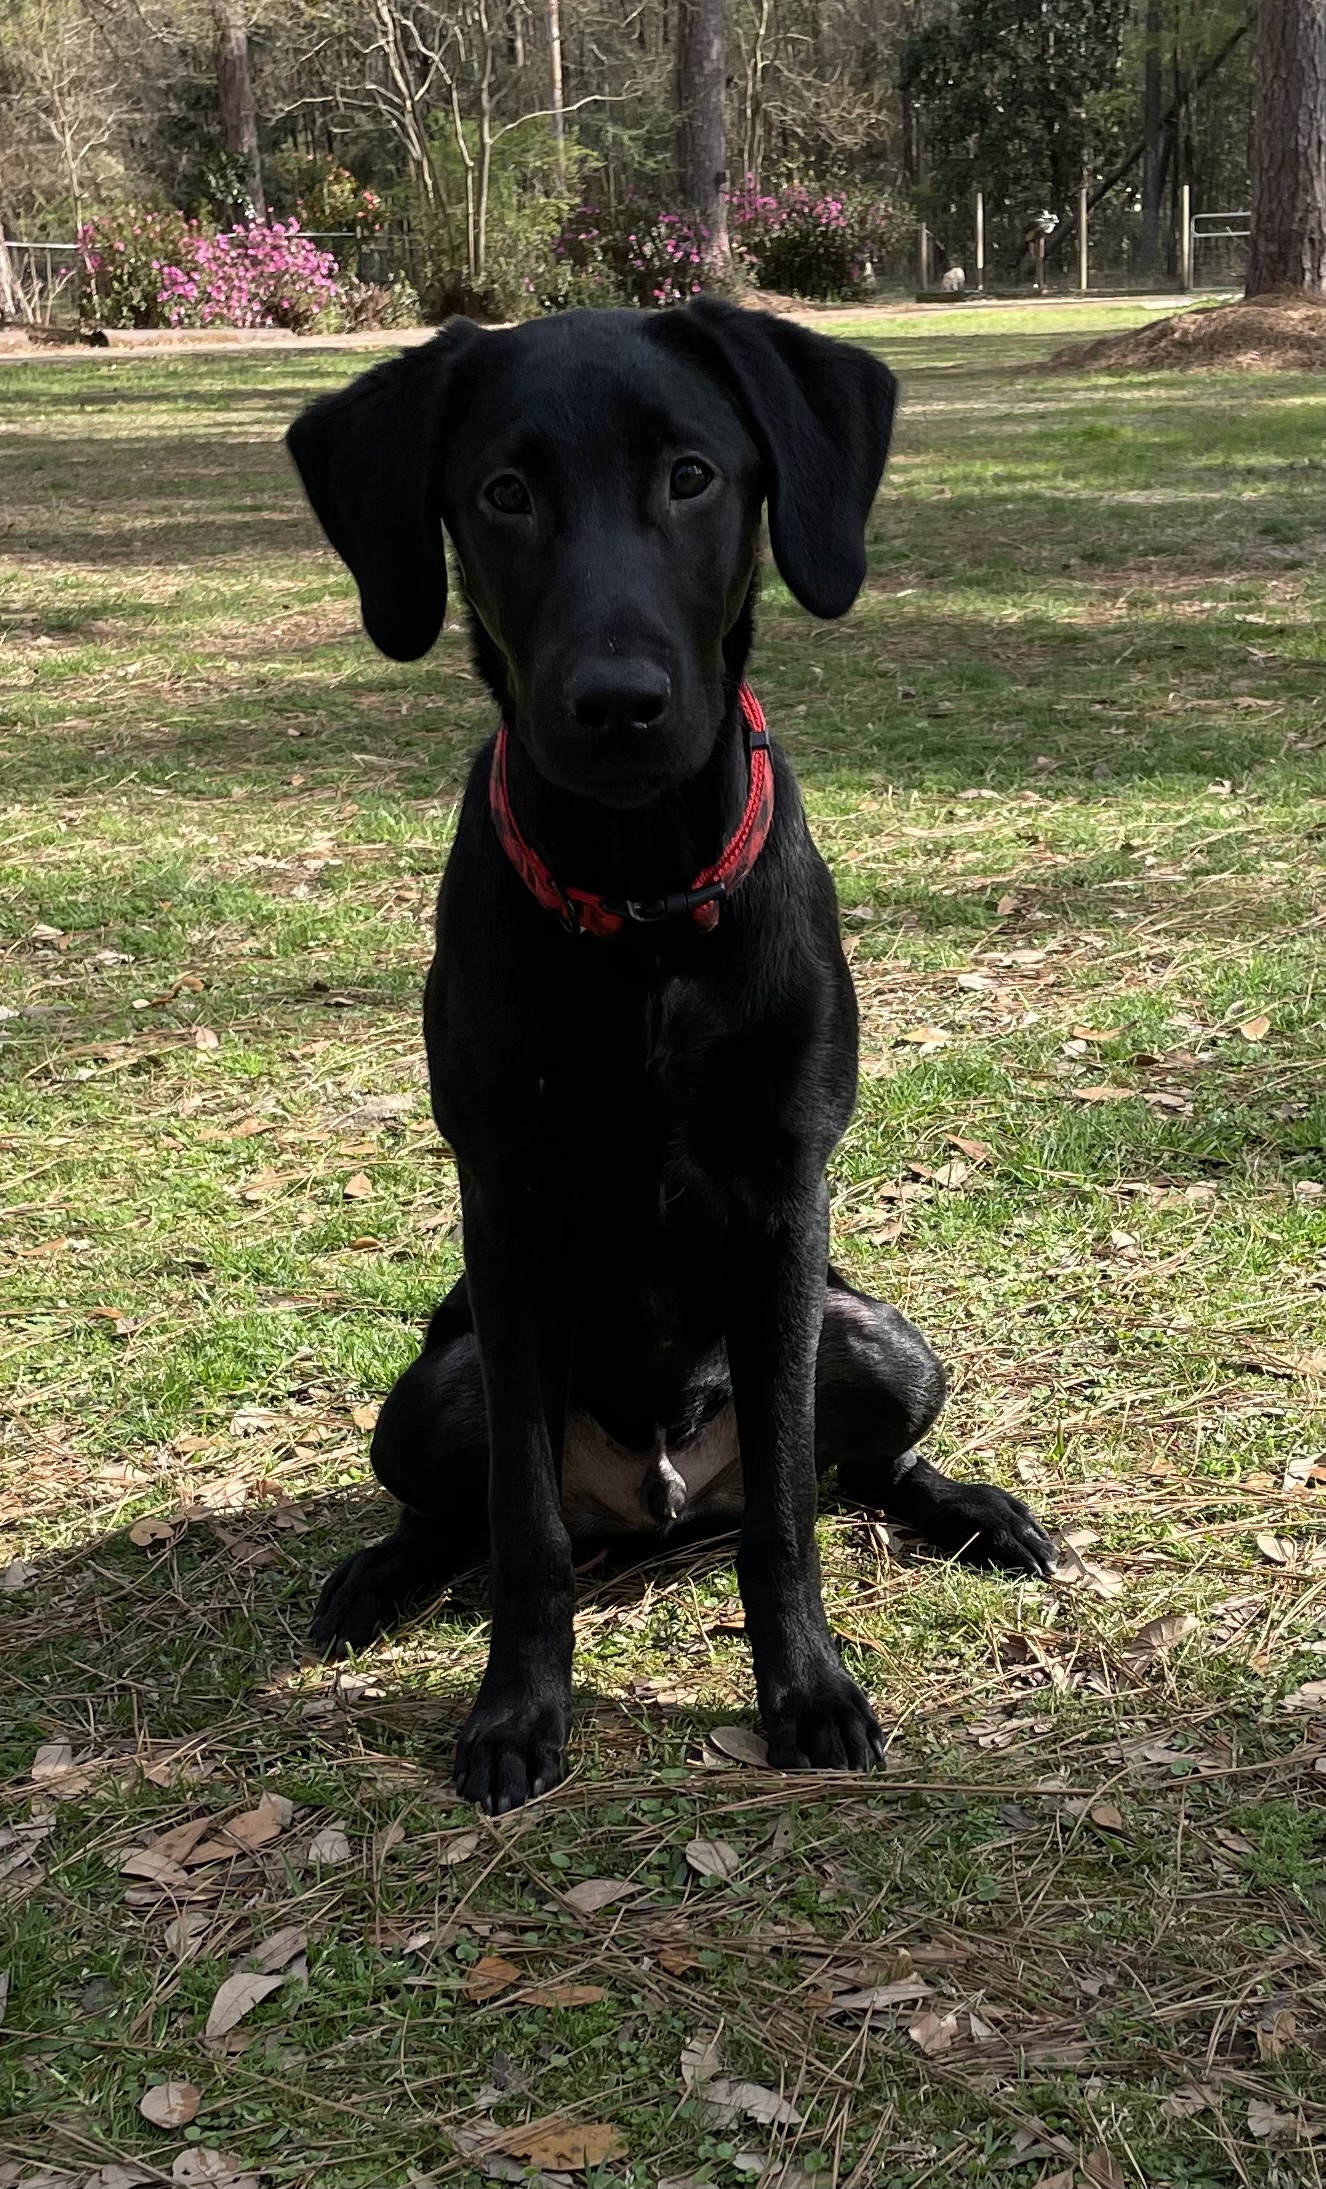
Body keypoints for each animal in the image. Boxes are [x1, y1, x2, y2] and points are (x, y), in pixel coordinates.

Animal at [286, 304, 1054, 1812]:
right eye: (503, 494)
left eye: (693, 477)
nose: (616, 703)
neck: (639, 908)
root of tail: (650, 1507)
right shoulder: (505, 1217)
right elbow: (522, 1529)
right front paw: (516, 1713)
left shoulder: (784, 1206)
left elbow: (788, 1515)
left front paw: (807, 1691)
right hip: (436, 1384)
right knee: (463, 1513)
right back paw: (378, 1576)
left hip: (876, 1336)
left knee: (853, 1475)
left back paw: (974, 1509)